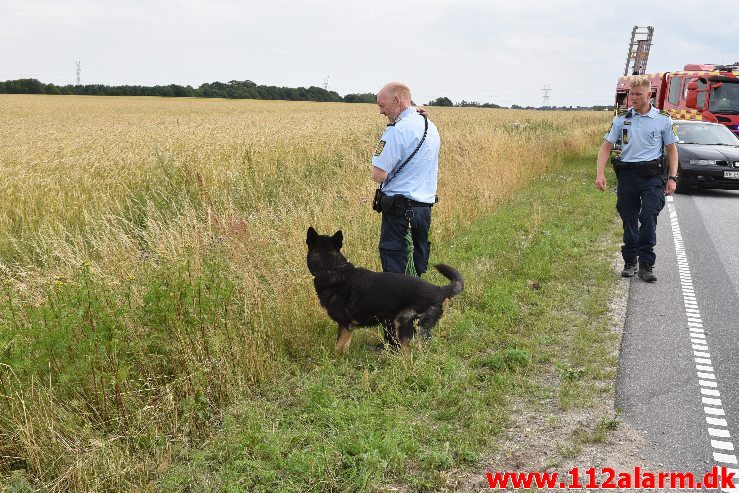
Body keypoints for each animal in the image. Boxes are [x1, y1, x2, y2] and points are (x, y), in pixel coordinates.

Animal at [306, 227, 462, 354]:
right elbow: (344, 348)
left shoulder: (345, 325)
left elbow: (337, 349)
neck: (331, 267)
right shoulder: (348, 328)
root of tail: (438, 290)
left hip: (403, 325)